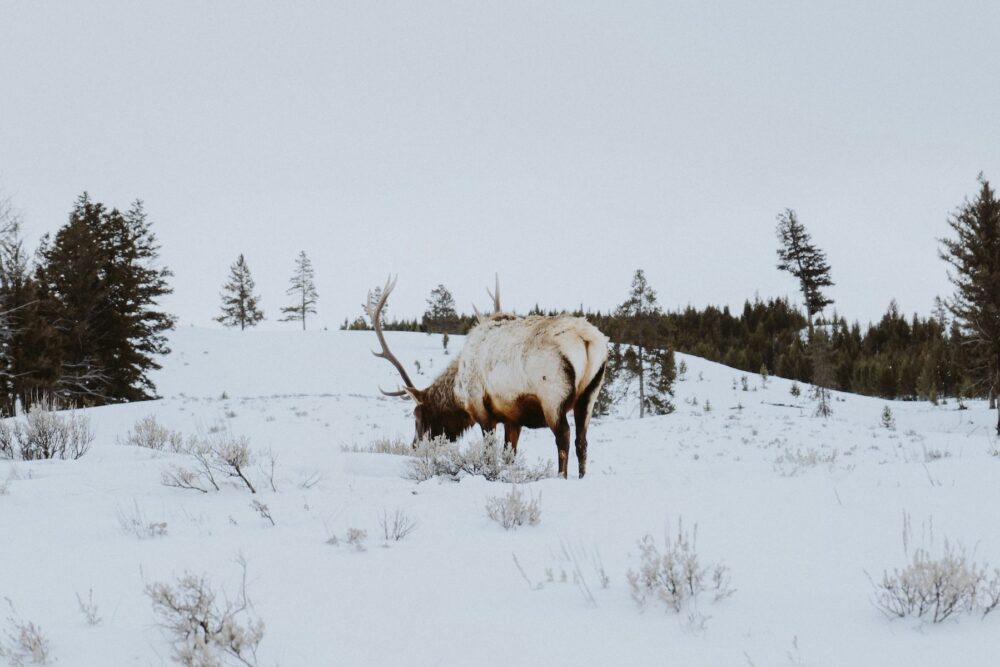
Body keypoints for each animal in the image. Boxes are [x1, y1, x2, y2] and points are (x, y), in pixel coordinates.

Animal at [367, 275, 609, 478]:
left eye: (416, 416)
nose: (415, 447)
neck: (458, 391)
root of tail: (586, 339)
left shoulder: (482, 411)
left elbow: (488, 453)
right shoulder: (513, 418)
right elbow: (509, 456)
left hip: (552, 395)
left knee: (564, 437)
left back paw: (561, 477)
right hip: (590, 394)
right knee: (582, 440)